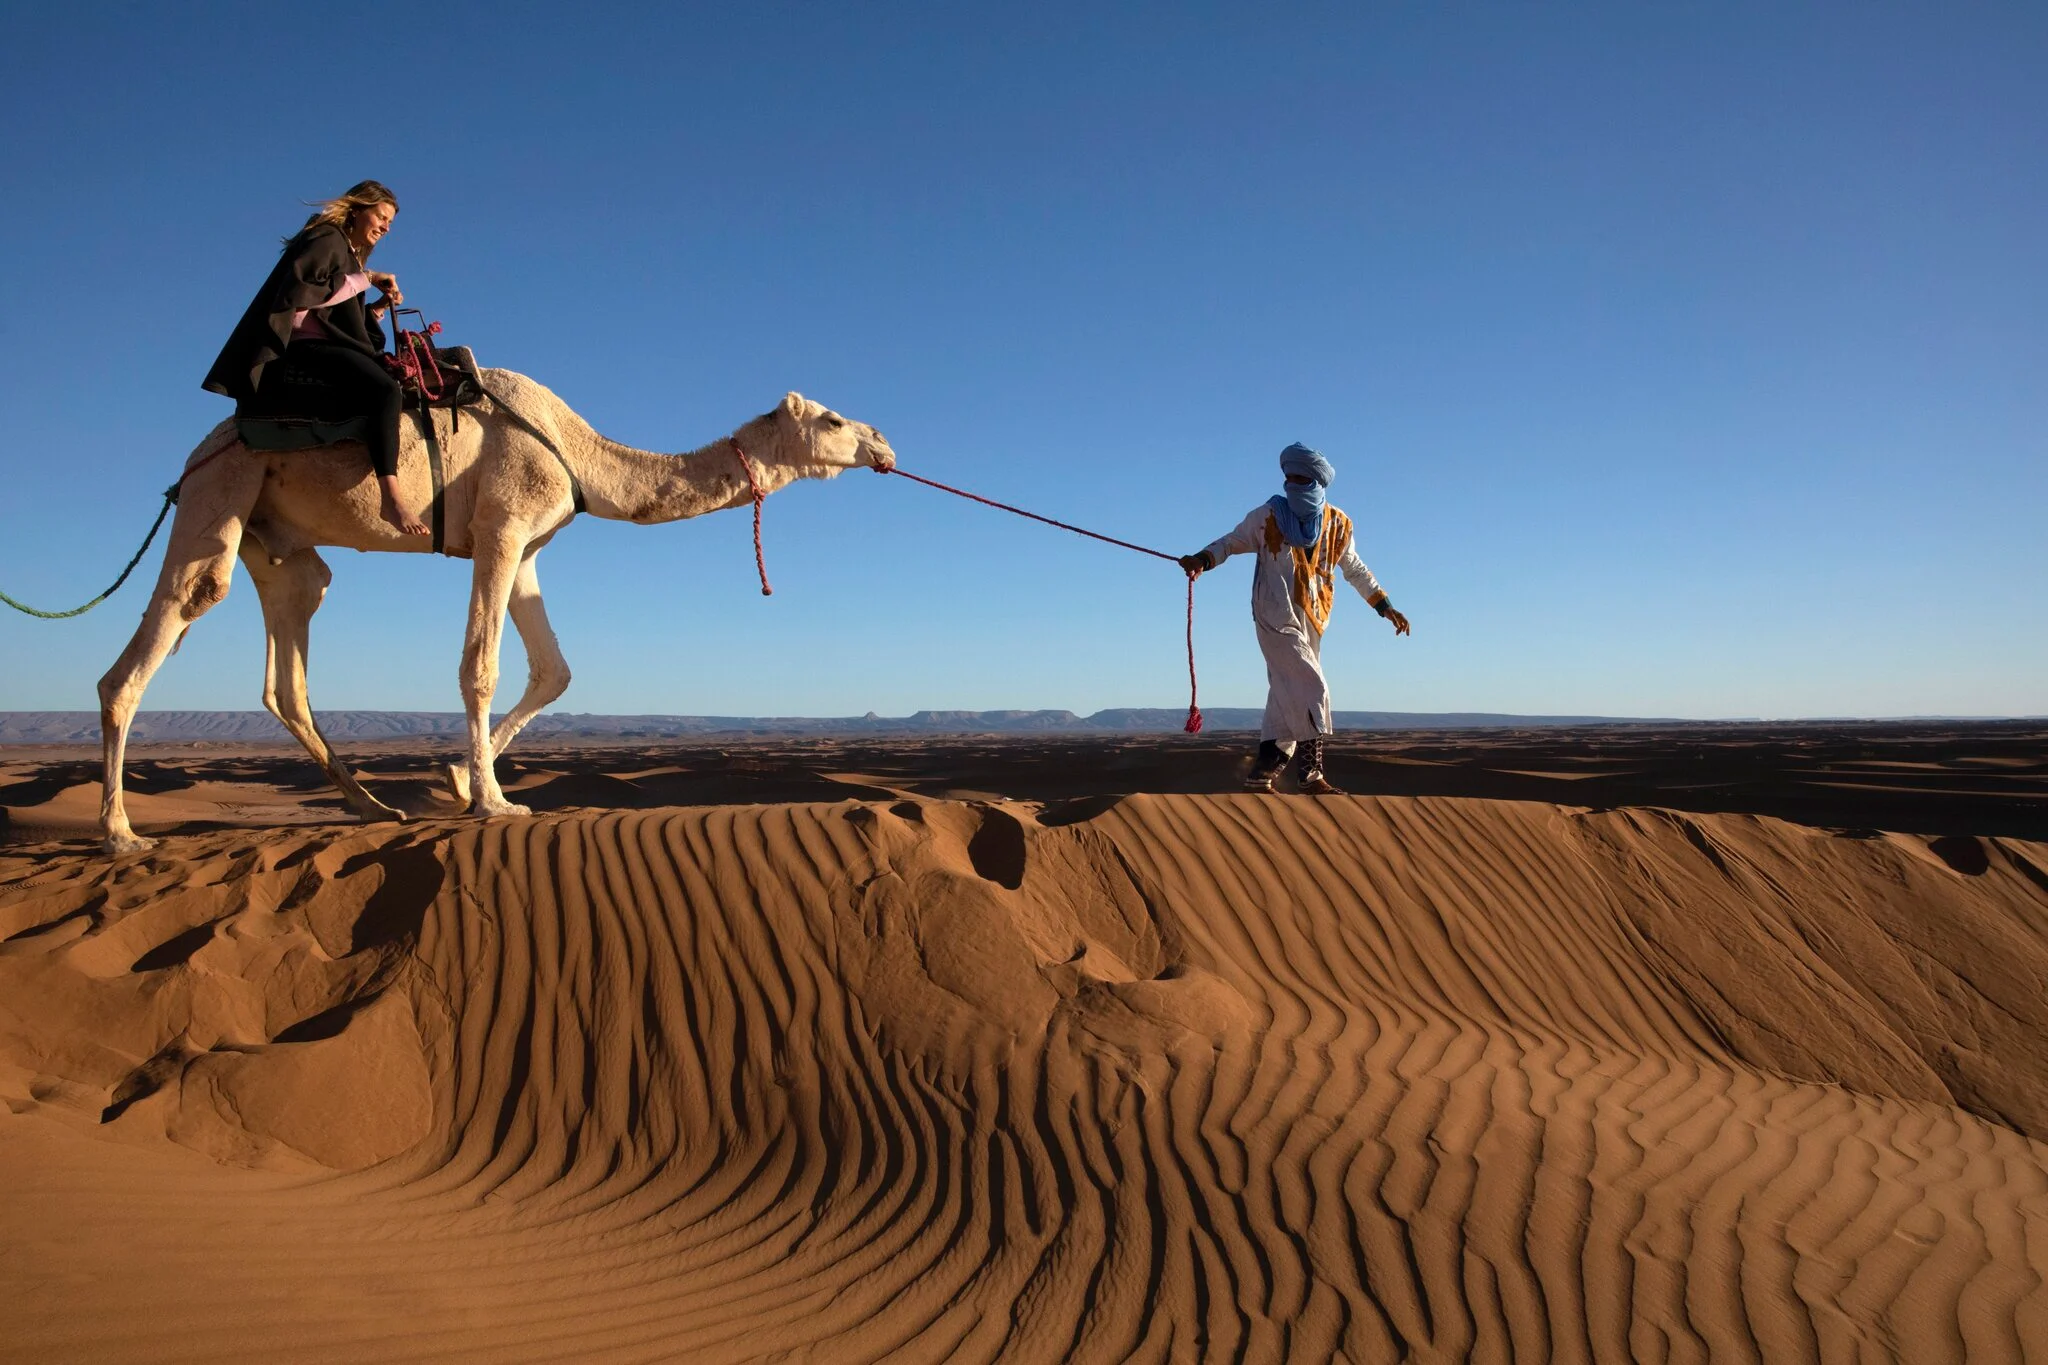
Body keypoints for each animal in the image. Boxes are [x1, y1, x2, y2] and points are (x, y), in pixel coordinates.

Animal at [97, 373, 896, 853]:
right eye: (833, 418)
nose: (885, 443)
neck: (578, 452)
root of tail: (193, 457)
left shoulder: (529, 548)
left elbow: (555, 671)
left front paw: (457, 778)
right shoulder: (503, 527)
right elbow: (480, 665)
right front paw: (491, 802)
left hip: (277, 545)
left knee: (289, 661)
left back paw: (374, 809)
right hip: (220, 493)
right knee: (161, 633)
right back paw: (120, 833)